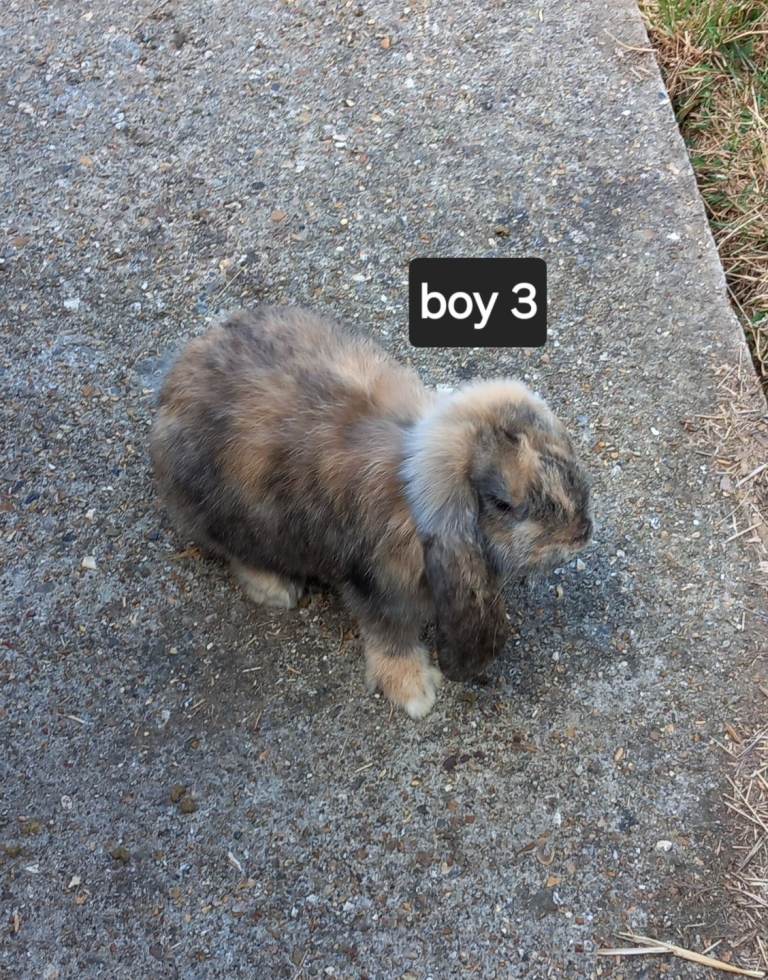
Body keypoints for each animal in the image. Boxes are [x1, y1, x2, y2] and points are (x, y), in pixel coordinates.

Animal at [150, 307, 592, 718]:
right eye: (502, 503)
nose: (582, 533)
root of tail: (170, 393)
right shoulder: (378, 592)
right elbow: (390, 642)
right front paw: (416, 693)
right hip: (229, 519)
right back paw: (277, 589)